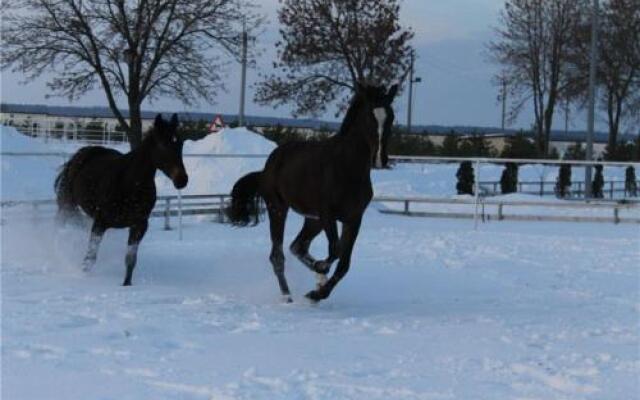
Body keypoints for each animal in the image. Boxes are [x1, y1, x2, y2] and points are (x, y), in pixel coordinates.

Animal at [54, 114, 188, 286]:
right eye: (163, 145)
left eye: (180, 144)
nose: (182, 180)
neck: (129, 183)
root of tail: (81, 154)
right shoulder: (100, 223)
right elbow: (90, 258)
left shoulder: (139, 226)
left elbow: (130, 259)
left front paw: (126, 284)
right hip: (66, 206)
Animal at [225, 85, 396, 304]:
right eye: (369, 117)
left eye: (390, 117)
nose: (380, 159)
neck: (348, 168)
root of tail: (266, 169)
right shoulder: (328, 214)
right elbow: (336, 250)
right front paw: (320, 276)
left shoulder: (354, 218)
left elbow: (344, 263)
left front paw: (318, 292)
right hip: (278, 208)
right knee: (278, 255)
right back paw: (288, 295)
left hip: (312, 220)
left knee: (297, 246)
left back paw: (316, 277)